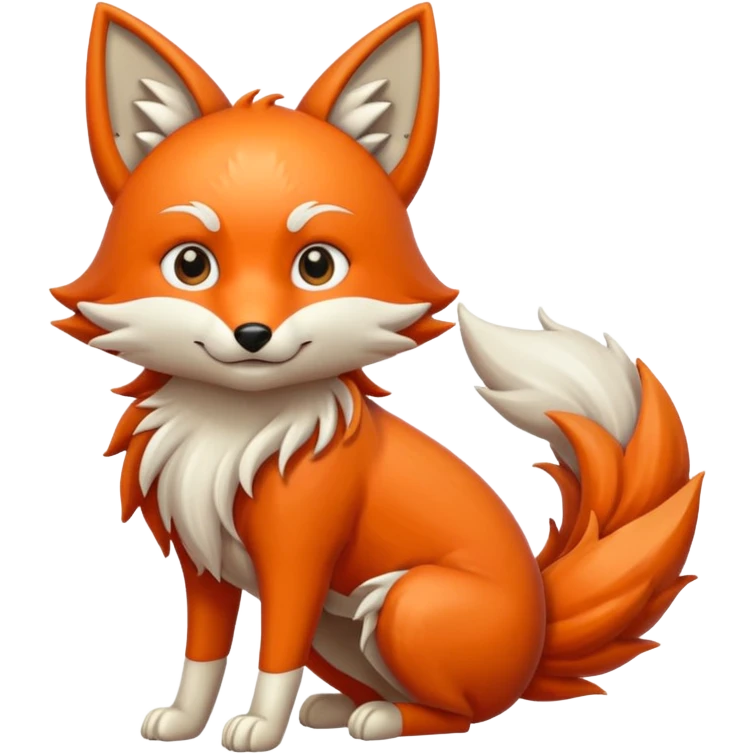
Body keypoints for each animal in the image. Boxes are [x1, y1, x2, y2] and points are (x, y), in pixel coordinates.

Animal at [51, 1, 703, 750]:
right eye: (191, 265)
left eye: (316, 265)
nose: (252, 336)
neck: (235, 429)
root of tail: (539, 637)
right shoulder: (205, 562)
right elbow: (203, 654)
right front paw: (185, 721)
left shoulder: (299, 560)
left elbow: (272, 659)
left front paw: (259, 728)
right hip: (340, 633)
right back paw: (339, 709)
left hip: (407, 602)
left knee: (463, 713)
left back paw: (384, 719)